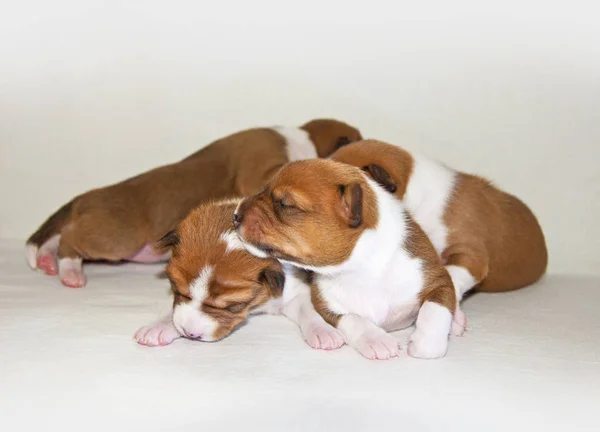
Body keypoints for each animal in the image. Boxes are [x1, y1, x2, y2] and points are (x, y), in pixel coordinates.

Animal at [25, 118, 364, 286]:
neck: (300, 137)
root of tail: (86, 196)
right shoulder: (261, 168)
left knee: (59, 235)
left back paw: (47, 260)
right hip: (115, 238)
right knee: (70, 240)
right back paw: (71, 272)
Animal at [134, 199, 344, 352]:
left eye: (232, 306)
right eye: (177, 290)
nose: (190, 334)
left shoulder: (293, 292)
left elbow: (309, 310)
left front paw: (324, 332)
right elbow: (172, 309)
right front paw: (158, 326)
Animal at [234, 160, 460, 360]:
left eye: (284, 204)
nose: (235, 215)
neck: (364, 272)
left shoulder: (438, 279)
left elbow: (434, 313)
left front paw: (423, 342)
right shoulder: (325, 306)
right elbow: (354, 319)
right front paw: (376, 340)